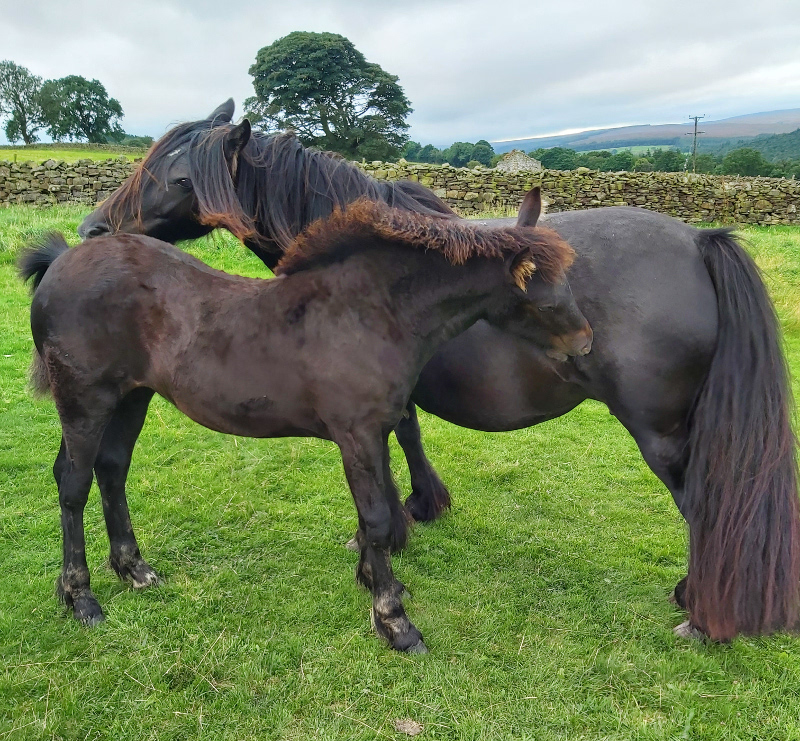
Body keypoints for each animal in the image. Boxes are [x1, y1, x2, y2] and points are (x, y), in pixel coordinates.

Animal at [79, 101, 800, 640]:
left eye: (175, 178)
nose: (92, 230)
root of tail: (699, 240)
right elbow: (405, 437)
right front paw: (412, 516)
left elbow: (390, 455)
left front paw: (386, 544)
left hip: (659, 431)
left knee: (701, 501)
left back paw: (702, 614)